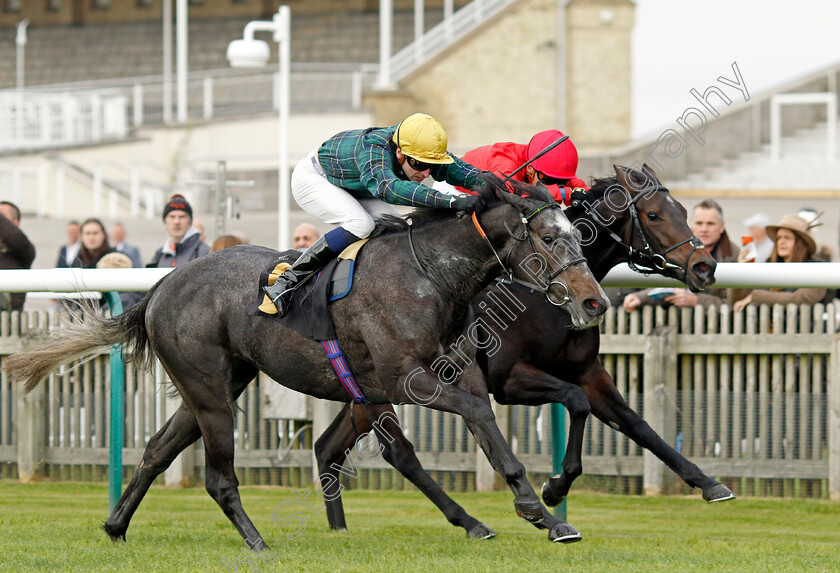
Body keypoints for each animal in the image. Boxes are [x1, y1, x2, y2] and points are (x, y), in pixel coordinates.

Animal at [6, 175, 612, 548]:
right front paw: (536, 507)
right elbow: (480, 416)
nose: (595, 302)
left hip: (218, 383)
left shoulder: (450, 370)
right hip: (210, 390)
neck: (430, 275)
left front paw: (547, 514)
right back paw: (257, 543)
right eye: (549, 235)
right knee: (218, 476)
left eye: (576, 233)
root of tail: (160, 286)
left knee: (157, 450)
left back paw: (115, 526)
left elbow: (488, 426)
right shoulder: (406, 379)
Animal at [312, 164, 732, 536]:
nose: (705, 266)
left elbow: (637, 424)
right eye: (654, 214)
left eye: (684, 212)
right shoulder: (509, 380)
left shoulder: (587, 371)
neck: (540, 296)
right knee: (391, 451)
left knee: (327, 445)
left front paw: (708, 483)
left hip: (371, 389)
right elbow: (575, 401)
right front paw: (555, 488)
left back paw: (338, 526)